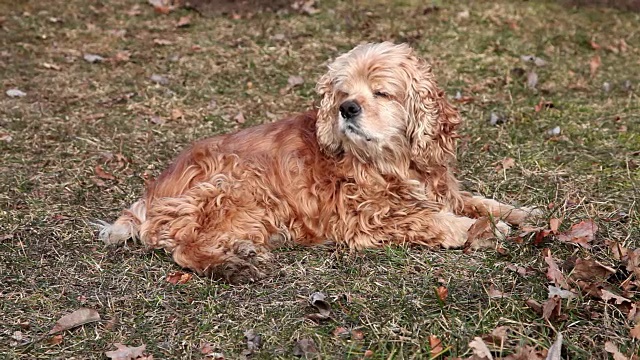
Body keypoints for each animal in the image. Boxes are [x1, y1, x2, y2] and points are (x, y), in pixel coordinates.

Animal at [97, 42, 540, 284]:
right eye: (344, 92)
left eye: (381, 93)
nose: (347, 108)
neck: (394, 160)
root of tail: (149, 196)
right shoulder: (368, 219)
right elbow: (435, 221)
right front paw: (482, 230)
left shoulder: (442, 189)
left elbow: (482, 201)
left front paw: (524, 213)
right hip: (233, 184)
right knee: (183, 249)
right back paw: (233, 267)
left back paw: (241, 252)